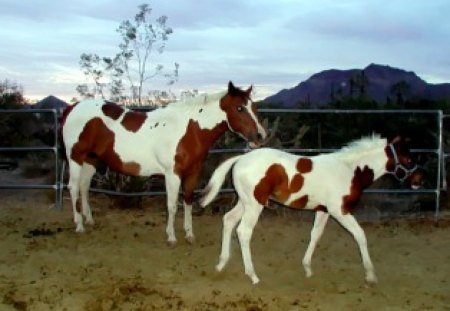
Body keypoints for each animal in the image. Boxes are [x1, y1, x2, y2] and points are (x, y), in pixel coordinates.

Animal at [61, 81, 266, 245]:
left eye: (254, 107)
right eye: (239, 108)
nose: (260, 136)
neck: (189, 129)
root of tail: (71, 109)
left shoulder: (193, 173)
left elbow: (188, 200)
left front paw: (189, 234)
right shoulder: (172, 174)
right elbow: (172, 205)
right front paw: (171, 237)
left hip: (91, 160)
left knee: (84, 186)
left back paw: (88, 219)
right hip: (76, 157)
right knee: (73, 187)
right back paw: (79, 225)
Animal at [200, 135, 422, 286]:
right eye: (409, 160)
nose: (420, 180)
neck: (349, 170)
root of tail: (240, 159)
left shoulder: (324, 210)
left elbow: (315, 235)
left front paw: (307, 268)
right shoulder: (340, 211)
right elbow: (360, 235)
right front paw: (371, 275)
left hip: (245, 201)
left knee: (229, 220)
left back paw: (221, 264)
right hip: (254, 205)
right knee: (244, 231)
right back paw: (253, 275)